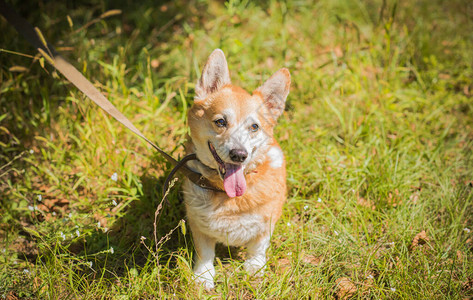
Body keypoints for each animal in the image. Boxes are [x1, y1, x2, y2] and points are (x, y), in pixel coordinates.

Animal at [183, 49, 290, 290]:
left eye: (254, 127)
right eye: (220, 122)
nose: (239, 155)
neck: (228, 197)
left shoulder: (267, 220)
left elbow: (258, 247)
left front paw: (255, 269)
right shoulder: (197, 224)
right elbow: (204, 253)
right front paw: (203, 277)